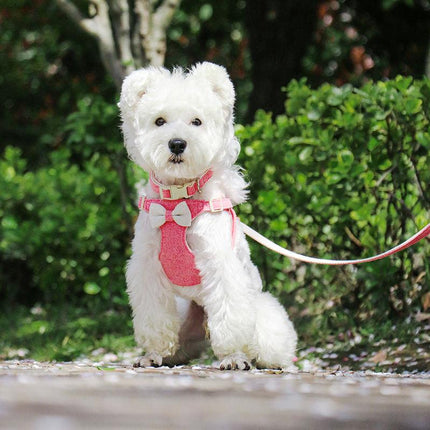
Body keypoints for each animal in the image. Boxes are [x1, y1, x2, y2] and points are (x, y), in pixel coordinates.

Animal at [119, 61, 298, 370]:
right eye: (159, 121)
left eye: (196, 121)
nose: (177, 143)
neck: (178, 200)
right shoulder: (147, 266)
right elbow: (154, 318)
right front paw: (153, 352)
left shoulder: (220, 262)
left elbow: (230, 318)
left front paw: (233, 357)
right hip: (181, 311)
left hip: (263, 318)